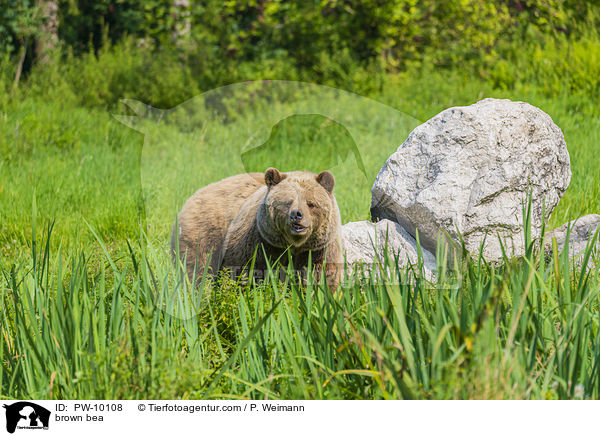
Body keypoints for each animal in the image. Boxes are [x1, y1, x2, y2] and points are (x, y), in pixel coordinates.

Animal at [172, 169, 342, 288]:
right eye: (287, 202)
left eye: (310, 203)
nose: (296, 215)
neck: (294, 246)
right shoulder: (259, 245)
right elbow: (245, 274)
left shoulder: (319, 251)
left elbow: (321, 281)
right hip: (204, 235)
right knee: (197, 273)